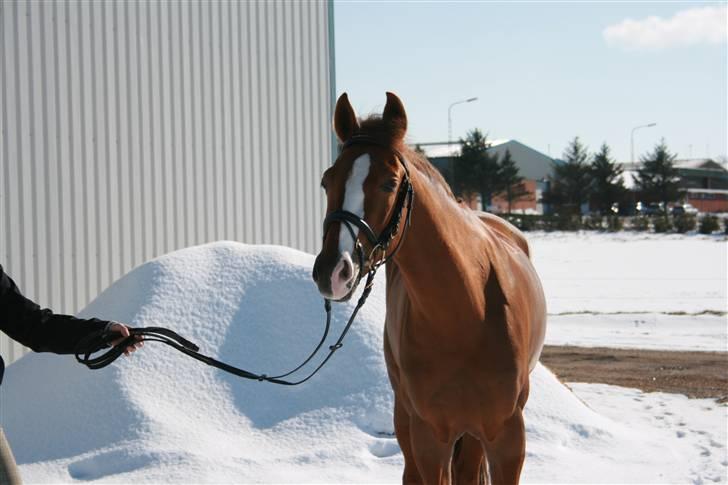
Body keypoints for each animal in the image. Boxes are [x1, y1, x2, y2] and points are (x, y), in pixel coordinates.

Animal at [312, 92, 547, 485]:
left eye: (389, 183)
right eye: (327, 181)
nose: (333, 271)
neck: (468, 313)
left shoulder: (508, 437)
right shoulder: (430, 438)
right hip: (408, 420)